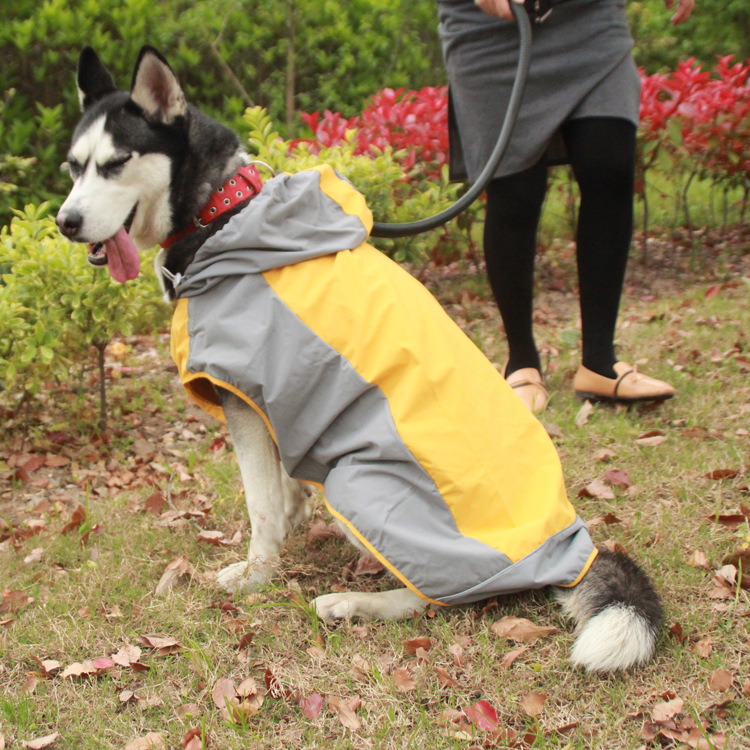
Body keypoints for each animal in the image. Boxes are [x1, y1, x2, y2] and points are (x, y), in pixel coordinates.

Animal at [57, 47, 664, 676]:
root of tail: (572, 550)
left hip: (356, 483)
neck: (222, 213)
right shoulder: (272, 399)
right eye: (73, 167)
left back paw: (352, 602)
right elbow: (281, 483)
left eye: (117, 164)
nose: (65, 223)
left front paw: (254, 576)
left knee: (442, 599)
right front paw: (291, 520)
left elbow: (259, 505)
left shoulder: (242, 397)